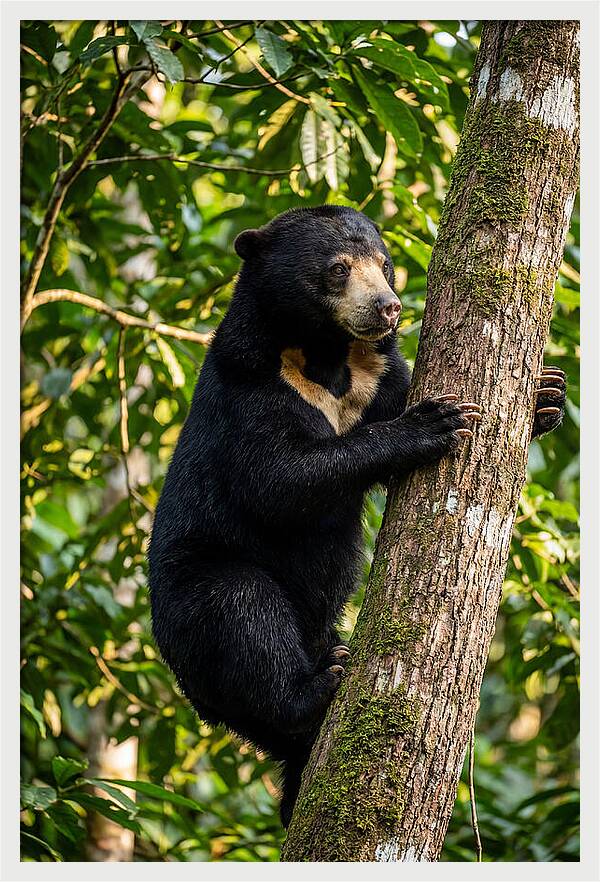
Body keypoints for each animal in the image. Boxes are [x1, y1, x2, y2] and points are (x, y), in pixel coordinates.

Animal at [148, 205, 566, 827]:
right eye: (339, 269)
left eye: (386, 265)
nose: (389, 307)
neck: (326, 355)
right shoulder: (250, 385)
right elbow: (276, 480)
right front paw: (434, 422)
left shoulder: (377, 375)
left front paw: (545, 395)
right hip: (194, 595)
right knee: (241, 611)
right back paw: (320, 685)